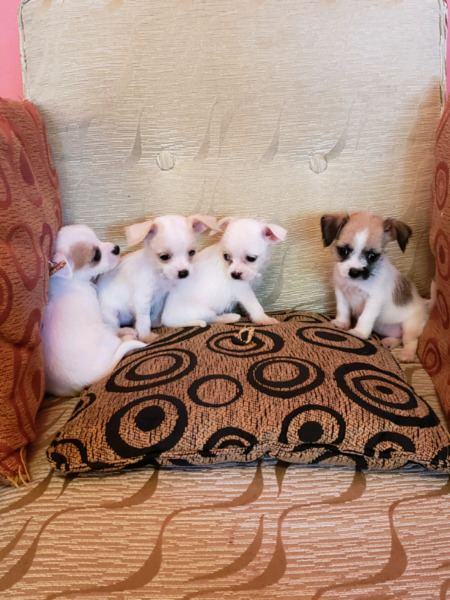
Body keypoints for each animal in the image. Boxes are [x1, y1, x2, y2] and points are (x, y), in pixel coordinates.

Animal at [41, 223, 145, 396]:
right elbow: (114, 326)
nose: (117, 248)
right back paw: (128, 334)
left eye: (97, 238)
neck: (69, 281)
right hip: (107, 336)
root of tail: (89, 379)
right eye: (96, 256)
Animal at [97, 214, 217, 342]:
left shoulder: (161, 297)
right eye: (164, 257)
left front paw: (155, 322)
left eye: (192, 252)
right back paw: (126, 330)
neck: (159, 275)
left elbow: (156, 311)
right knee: (113, 329)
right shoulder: (143, 299)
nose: (183, 273)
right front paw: (146, 336)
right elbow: (144, 320)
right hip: (110, 314)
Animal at [320, 211, 432, 360]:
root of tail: (425, 303)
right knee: (399, 338)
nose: (354, 272)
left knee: (410, 341)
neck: (356, 284)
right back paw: (389, 342)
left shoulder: (374, 301)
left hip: (410, 327)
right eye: (343, 251)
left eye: (372, 256)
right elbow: (343, 310)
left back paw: (407, 354)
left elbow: (365, 317)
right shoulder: (341, 293)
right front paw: (342, 323)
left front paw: (359, 332)